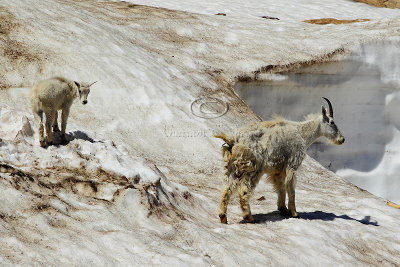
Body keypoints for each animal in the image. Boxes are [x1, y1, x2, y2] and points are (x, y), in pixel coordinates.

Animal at [216, 98, 344, 224]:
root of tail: (233, 140)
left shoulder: (278, 170)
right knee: (243, 192)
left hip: (232, 168)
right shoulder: (292, 164)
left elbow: (280, 187)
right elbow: (290, 189)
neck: (302, 133)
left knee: (226, 189)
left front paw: (283, 209)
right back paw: (249, 217)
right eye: (332, 122)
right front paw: (294, 213)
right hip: (252, 169)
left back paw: (223, 217)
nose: (342, 139)